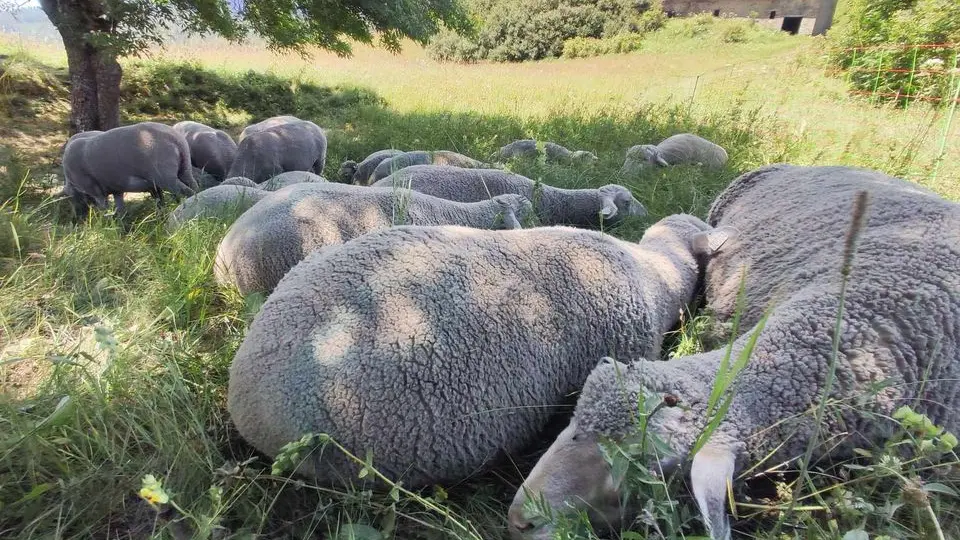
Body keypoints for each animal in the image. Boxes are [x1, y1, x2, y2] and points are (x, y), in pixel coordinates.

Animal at [60, 122, 199, 219]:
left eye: (70, 199)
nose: (75, 219)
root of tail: (174, 138)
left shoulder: (95, 191)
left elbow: (104, 208)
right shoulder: (117, 189)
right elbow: (121, 210)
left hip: (165, 176)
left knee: (186, 191)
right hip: (184, 168)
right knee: (194, 186)